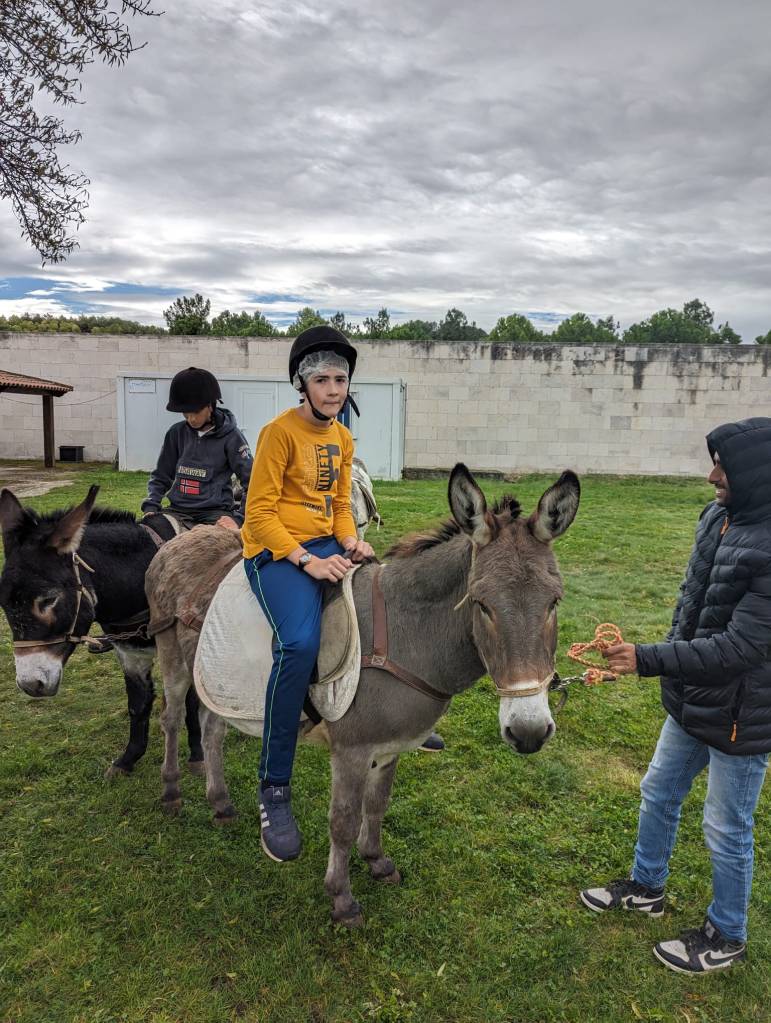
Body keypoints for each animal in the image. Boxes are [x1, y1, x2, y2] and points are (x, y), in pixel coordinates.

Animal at [145, 463, 580, 925]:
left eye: (554, 602)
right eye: (481, 604)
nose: (529, 730)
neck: (406, 634)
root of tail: (179, 540)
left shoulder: (390, 747)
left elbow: (377, 805)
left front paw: (375, 860)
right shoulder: (351, 751)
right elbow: (344, 820)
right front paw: (341, 897)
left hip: (217, 680)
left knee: (211, 729)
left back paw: (221, 803)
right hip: (173, 659)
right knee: (172, 718)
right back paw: (171, 791)